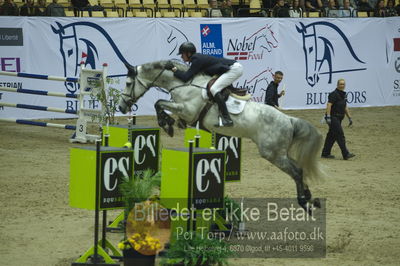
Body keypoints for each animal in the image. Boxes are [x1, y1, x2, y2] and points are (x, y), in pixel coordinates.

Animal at [119, 60, 324, 212]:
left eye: (128, 83)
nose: (121, 107)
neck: (184, 83)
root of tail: (289, 120)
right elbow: (161, 104)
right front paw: (170, 123)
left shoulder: (187, 110)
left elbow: (159, 103)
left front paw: (166, 123)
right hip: (280, 153)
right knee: (300, 169)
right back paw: (310, 197)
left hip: (272, 153)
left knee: (296, 172)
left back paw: (305, 203)